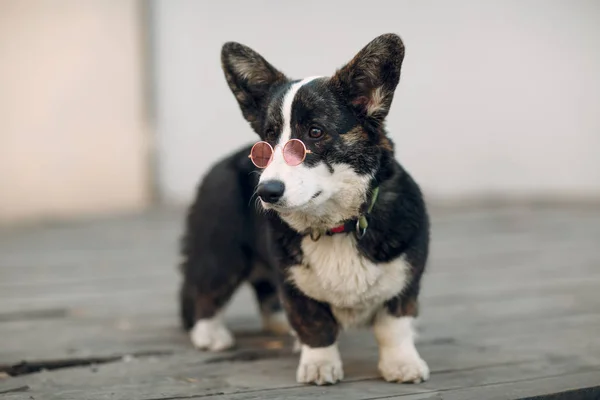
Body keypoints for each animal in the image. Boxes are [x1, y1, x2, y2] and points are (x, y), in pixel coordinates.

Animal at [179, 33, 432, 384]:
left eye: (315, 132)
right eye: (269, 137)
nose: (266, 192)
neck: (336, 226)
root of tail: (223, 162)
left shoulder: (405, 281)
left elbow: (393, 328)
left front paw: (402, 364)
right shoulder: (295, 285)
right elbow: (315, 325)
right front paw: (319, 365)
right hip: (221, 253)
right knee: (206, 292)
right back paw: (210, 335)